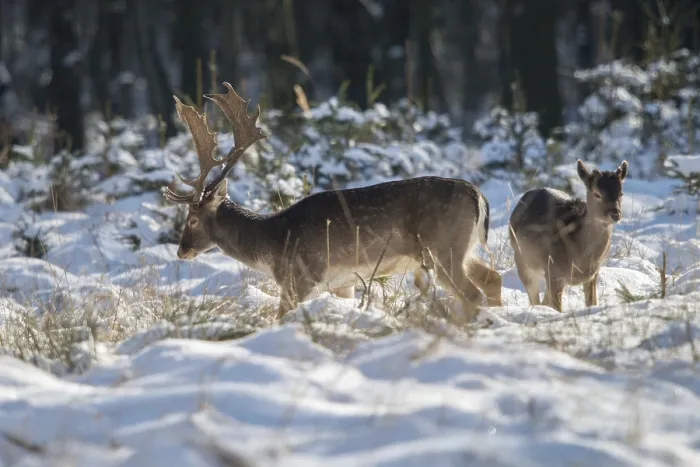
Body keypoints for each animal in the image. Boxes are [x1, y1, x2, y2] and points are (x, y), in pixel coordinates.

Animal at [163, 82, 503, 321]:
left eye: (192, 219)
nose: (181, 250)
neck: (274, 244)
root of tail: (479, 196)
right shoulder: (343, 283)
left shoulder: (301, 277)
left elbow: (279, 317)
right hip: (460, 247)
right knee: (493, 278)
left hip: (442, 247)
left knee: (472, 293)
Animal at [507, 159, 628, 312]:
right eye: (597, 194)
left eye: (621, 193)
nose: (615, 214)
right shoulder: (554, 271)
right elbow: (558, 309)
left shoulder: (593, 273)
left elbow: (592, 303)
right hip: (522, 260)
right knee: (535, 300)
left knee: (543, 301)